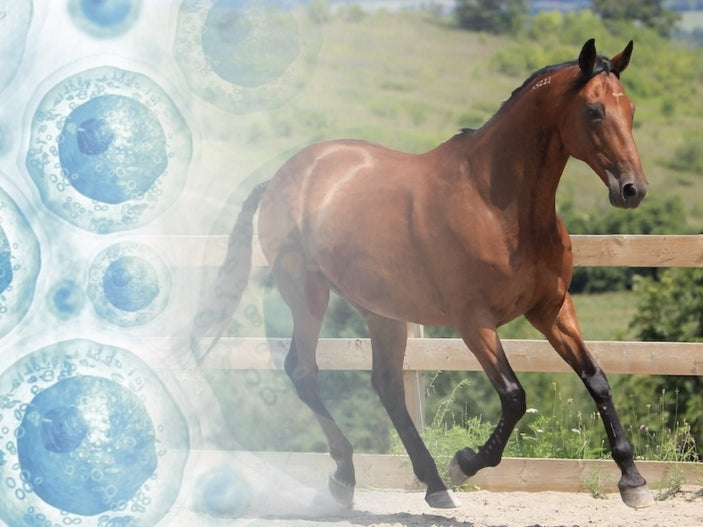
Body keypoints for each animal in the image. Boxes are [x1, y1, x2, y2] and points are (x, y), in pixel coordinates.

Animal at [192, 39, 653, 510]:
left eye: (631, 108)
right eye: (593, 110)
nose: (632, 189)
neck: (498, 205)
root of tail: (279, 178)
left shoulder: (551, 309)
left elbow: (596, 380)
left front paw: (632, 480)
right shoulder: (474, 322)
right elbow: (513, 397)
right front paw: (465, 463)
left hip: (381, 312)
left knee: (386, 386)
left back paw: (432, 484)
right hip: (307, 295)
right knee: (304, 372)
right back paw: (347, 477)